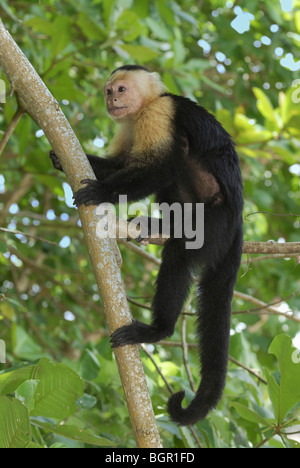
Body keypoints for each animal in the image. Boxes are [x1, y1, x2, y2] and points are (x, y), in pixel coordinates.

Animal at [50, 64, 244, 426]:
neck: (144, 107)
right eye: (109, 91)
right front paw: (58, 158)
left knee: (179, 252)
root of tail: (238, 220)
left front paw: (102, 192)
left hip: (216, 222)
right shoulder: (129, 124)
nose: (111, 100)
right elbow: (124, 163)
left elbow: (159, 165)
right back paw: (162, 225)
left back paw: (158, 329)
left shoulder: (159, 113)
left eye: (122, 89)